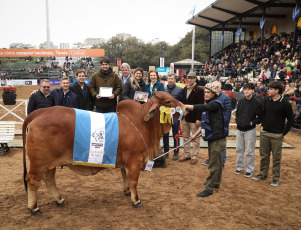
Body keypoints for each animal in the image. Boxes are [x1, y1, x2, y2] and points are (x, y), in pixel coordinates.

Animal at [22, 90, 185, 215]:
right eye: (168, 101)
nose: (186, 107)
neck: (141, 122)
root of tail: (41, 112)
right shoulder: (134, 160)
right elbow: (133, 180)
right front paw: (136, 200)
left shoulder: (125, 162)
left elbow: (125, 176)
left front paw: (126, 191)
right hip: (39, 163)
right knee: (32, 180)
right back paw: (34, 208)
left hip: (49, 164)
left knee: (49, 179)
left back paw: (59, 200)